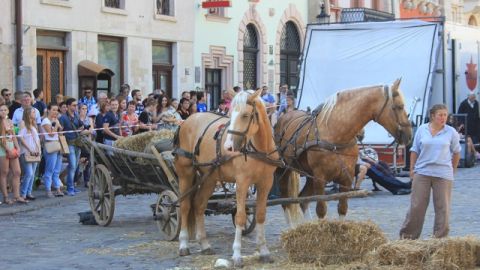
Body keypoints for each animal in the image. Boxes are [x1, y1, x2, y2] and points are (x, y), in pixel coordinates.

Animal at [174, 89, 278, 266]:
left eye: (245, 115)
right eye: (230, 114)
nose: (228, 147)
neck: (259, 149)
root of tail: (188, 119)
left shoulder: (266, 183)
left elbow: (260, 214)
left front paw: (264, 251)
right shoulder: (242, 182)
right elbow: (240, 217)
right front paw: (236, 254)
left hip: (209, 177)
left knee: (199, 205)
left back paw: (204, 244)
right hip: (186, 174)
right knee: (185, 206)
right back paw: (183, 244)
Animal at [274, 78, 412, 221]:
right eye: (399, 106)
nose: (409, 135)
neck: (336, 135)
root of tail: (284, 116)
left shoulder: (346, 179)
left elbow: (342, 208)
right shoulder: (320, 178)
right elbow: (321, 211)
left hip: (309, 175)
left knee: (302, 200)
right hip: (285, 169)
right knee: (286, 201)